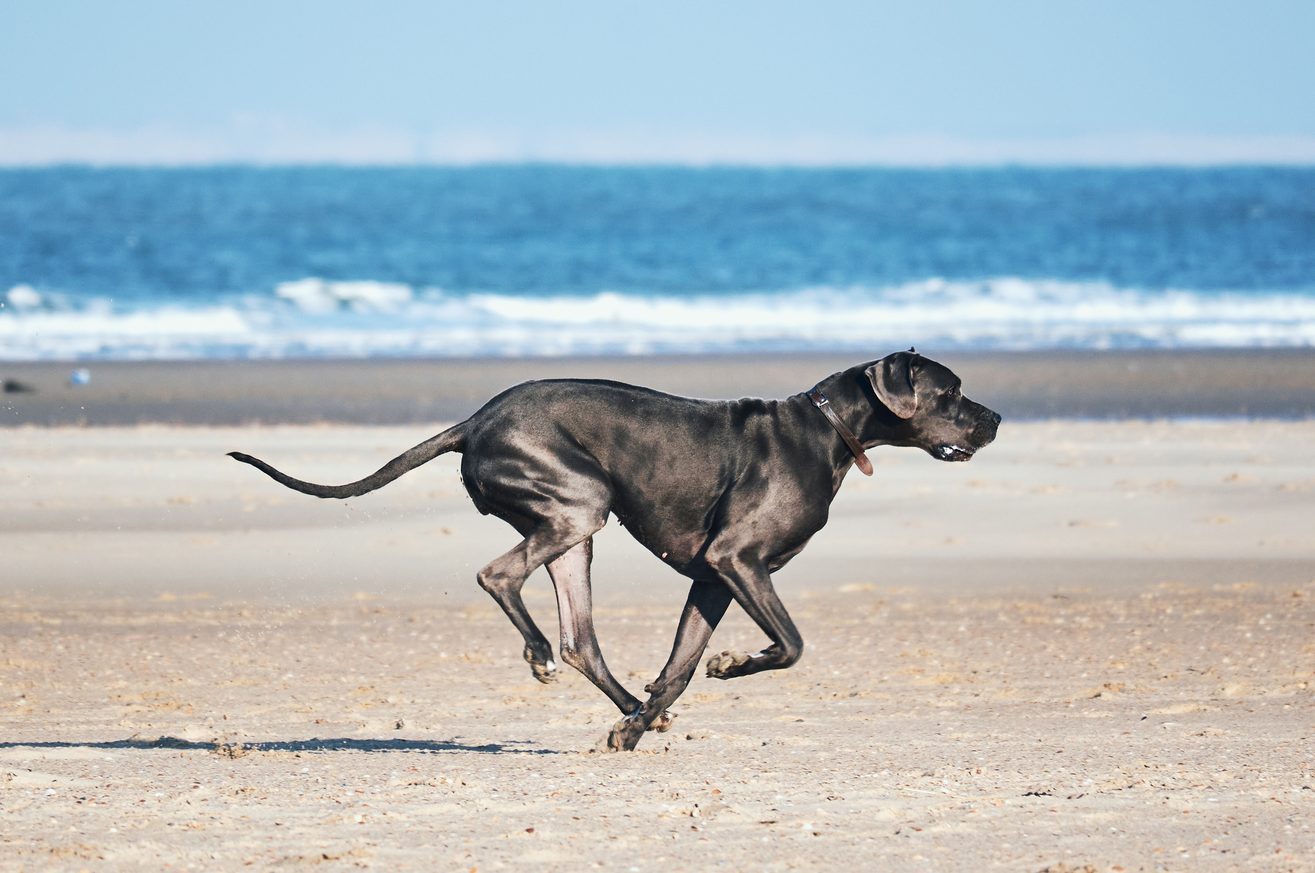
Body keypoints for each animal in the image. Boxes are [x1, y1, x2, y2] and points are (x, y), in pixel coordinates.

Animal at [231, 352, 999, 746]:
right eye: (951, 391)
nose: (995, 418)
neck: (828, 428)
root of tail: (474, 419)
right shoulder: (737, 561)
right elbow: (789, 644)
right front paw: (730, 665)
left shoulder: (713, 578)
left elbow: (679, 666)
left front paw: (639, 722)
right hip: (577, 505)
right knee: (498, 577)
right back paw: (537, 653)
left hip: (573, 533)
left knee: (582, 642)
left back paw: (615, 695)